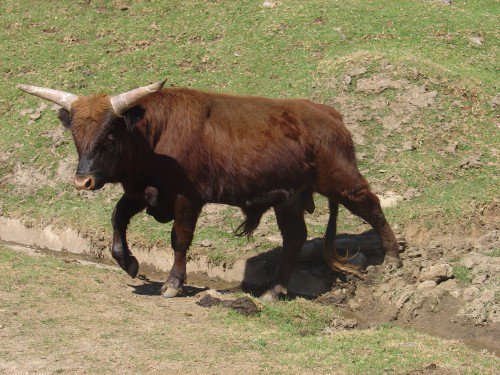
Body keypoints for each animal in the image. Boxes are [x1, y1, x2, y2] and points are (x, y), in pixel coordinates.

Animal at [19, 80, 400, 302]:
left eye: (109, 137)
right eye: (77, 137)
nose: (82, 181)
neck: (154, 137)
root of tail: (329, 114)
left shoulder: (187, 197)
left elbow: (180, 239)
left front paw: (172, 283)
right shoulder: (143, 191)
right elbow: (117, 217)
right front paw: (129, 263)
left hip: (341, 180)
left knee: (372, 206)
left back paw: (394, 257)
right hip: (288, 198)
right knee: (295, 238)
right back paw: (273, 291)